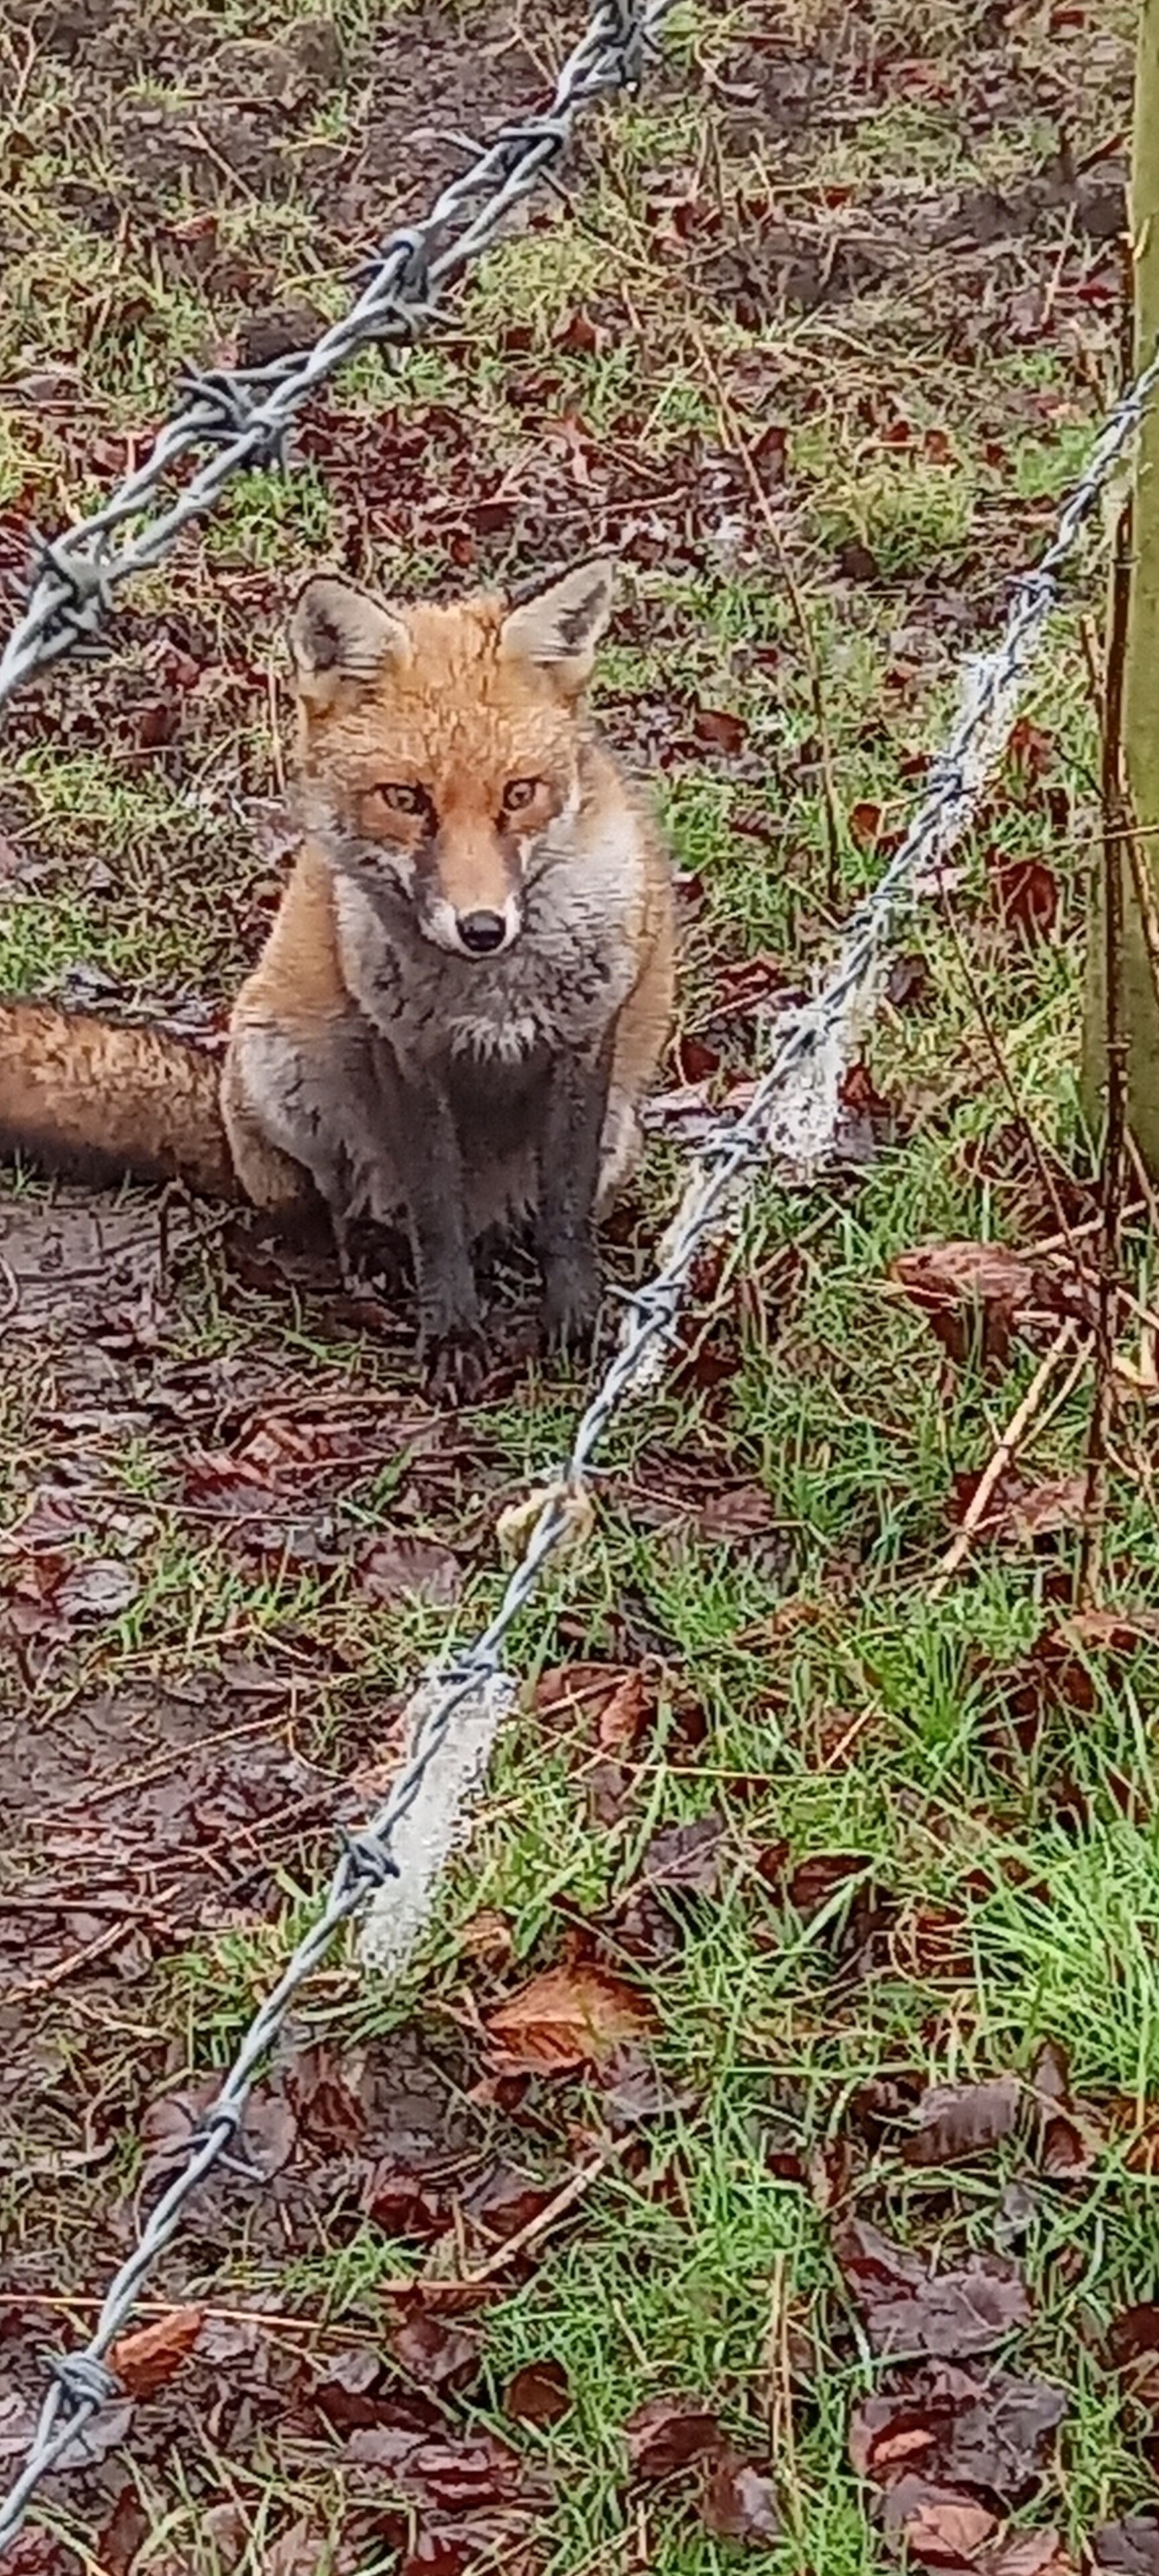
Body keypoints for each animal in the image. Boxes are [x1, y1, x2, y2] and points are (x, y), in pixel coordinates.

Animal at [0, 558, 676, 1397]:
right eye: (407, 800)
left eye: (520, 795)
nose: (483, 928)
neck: (489, 995)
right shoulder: (405, 1051)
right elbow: (436, 1216)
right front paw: (452, 1334)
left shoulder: (584, 1042)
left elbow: (566, 1211)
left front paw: (575, 1322)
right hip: (289, 1071)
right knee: (343, 1203)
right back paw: (371, 1254)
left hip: (622, 1130)